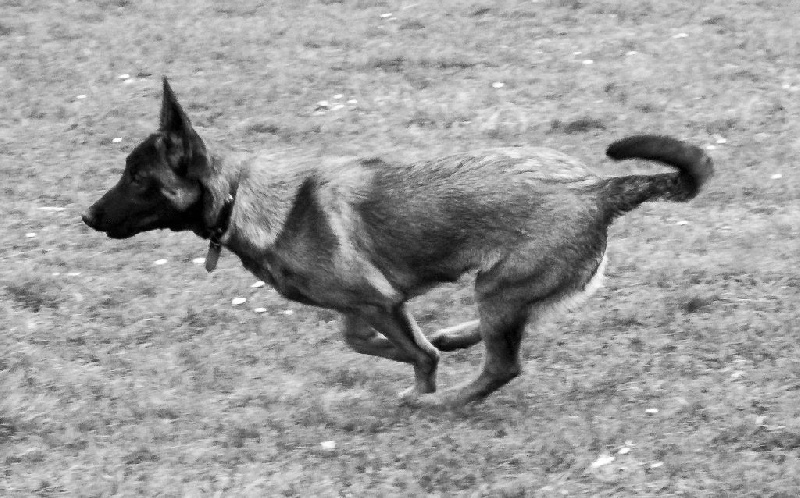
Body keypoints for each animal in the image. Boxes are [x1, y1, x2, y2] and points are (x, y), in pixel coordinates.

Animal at [83, 80, 712, 406]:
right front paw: (419, 354)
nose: (87, 216)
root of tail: (599, 188)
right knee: (504, 339)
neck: (244, 197)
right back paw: (457, 338)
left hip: (499, 286)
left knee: (503, 367)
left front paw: (421, 382)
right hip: (508, 288)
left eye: (137, 180)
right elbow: (361, 339)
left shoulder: (378, 299)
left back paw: (445, 400)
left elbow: (408, 351)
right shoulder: (366, 304)